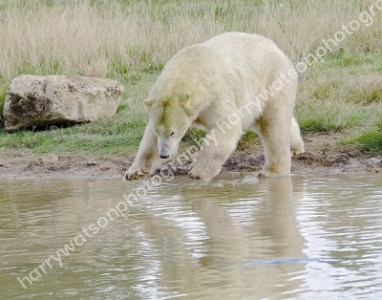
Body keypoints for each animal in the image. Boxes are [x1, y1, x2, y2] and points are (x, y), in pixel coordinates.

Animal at [124, 31, 304, 182]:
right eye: (158, 132)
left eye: (173, 132)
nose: (163, 155)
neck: (191, 67)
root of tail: (278, 49)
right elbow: (148, 139)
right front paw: (135, 171)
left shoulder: (215, 95)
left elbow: (226, 126)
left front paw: (197, 171)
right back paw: (295, 147)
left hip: (272, 82)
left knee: (274, 125)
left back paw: (272, 171)